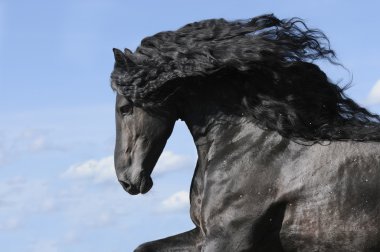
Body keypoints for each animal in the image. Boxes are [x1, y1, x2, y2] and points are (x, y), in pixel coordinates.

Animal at [109, 14, 380, 251]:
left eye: (124, 109)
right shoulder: (202, 235)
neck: (244, 144)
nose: (126, 180)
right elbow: (143, 246)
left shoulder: (226, 239)